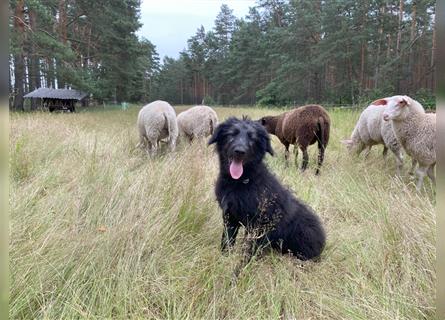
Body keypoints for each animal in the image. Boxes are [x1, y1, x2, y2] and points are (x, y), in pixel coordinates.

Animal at [206, 117, 324, 268]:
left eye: (253, 138)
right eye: (232, 134)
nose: (240, 151)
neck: (242, 182)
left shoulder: (258, 225)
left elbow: (248, 250)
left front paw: (242, 267)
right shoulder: (230, 217)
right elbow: (226, 242)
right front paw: (224, 259)